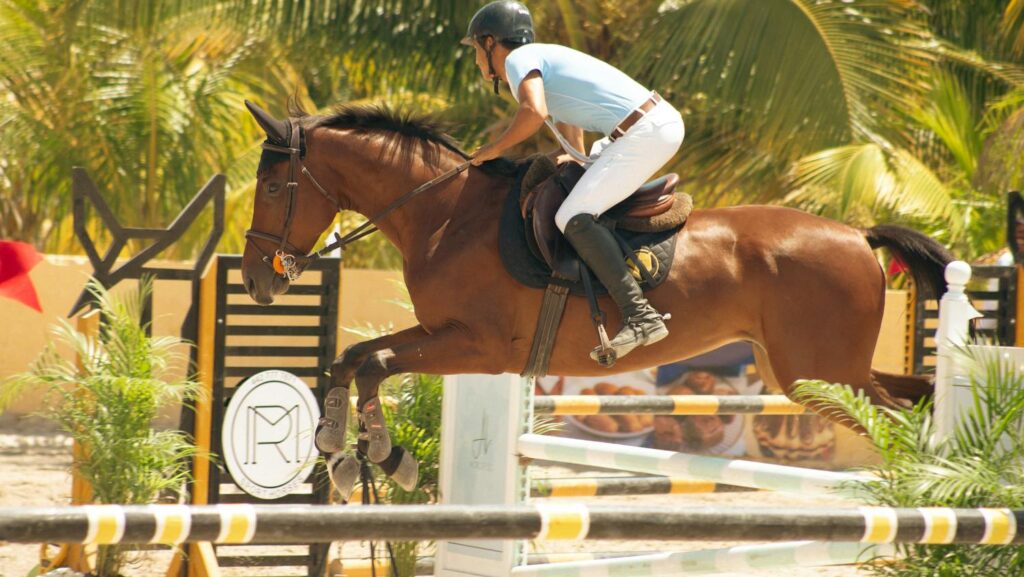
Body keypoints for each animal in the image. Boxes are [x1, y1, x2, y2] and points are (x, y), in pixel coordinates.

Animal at [239, 100, 951, 466]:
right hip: (802, 372)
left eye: (272, 186)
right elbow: (353, 357)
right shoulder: (444, 331)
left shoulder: (478, 346)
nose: (253, 282)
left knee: (899, 420)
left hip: (817, 371)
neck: (444, 213)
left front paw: (387, 456)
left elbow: (375, 364)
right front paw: (337, 444)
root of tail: (857, 235)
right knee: (910, 396)